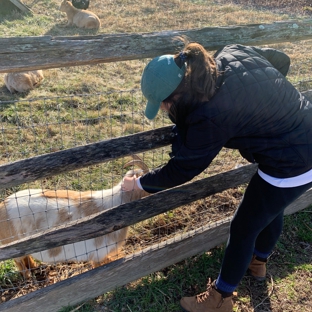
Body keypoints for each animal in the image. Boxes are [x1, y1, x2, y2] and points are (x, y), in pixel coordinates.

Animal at [0, 157, 149, 280]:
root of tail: (3, 205)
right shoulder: (98, 255)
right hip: (14, 247)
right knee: (18, 261)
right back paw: (28, 276)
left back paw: (35, 268)